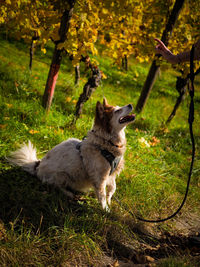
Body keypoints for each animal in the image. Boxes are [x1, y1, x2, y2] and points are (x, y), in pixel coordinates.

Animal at [7, 99, 136, 211]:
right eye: (117, 111)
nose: (130, 104)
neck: (106, 143)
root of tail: (37, 165)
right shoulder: (100, 178)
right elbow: (102, 195)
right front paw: (106, 210)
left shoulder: (111, 175)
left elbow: (112, 188)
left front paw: (109, 201)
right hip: (62, 175)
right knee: (56, 186)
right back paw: (69, 193)